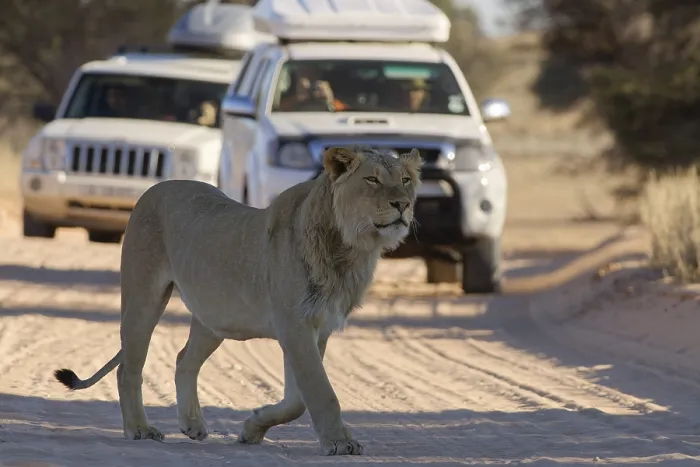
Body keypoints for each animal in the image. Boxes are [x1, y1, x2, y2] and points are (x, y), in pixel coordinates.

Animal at [53, 146, 422, 456]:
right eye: (372, 179)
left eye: (405, 180)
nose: (403, 204)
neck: (350, 251)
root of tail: (155, 188)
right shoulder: (295, 325)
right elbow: (319, 393)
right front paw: (339, 442)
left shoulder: (317, 329)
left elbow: (297, 399)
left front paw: (251, 429)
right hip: (143, 296)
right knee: (129, 367)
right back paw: (140, 429)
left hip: (214, 318)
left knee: (184, 359)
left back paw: (192, 424)